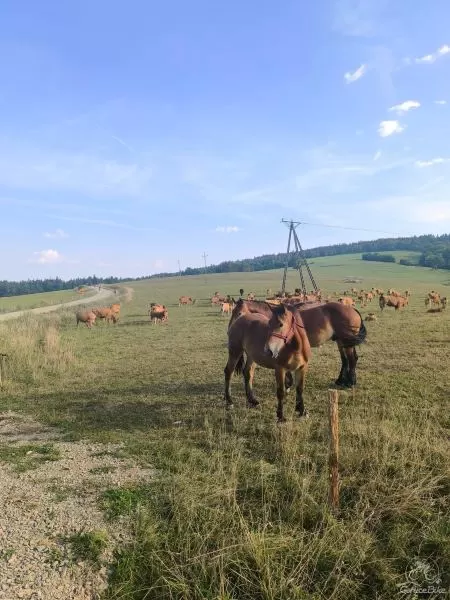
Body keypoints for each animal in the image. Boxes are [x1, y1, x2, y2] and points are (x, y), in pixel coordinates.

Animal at [229, 298, 366, 386]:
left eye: (239, 313)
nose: (230, 329)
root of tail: (352, 309)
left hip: (346, 341)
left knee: (351, 359)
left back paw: (351, 382)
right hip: (341, 341)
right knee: (346, 360)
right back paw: (341, 381)